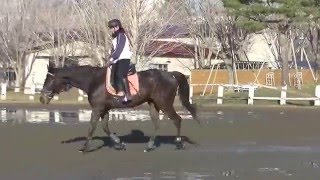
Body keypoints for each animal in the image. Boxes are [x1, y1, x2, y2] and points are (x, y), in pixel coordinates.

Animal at [39, 64, 199, 152]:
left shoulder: (97, 109)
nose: (42, 98)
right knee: (157, 123)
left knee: (177, 119)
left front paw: (84, 147)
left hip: (164, 103)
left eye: (49, 79)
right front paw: (119, 143)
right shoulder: (104, 110)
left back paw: (179, 143)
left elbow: (92, 127)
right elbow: (105, 127)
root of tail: (170, 74)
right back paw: (149, 146)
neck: (93, 80)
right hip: (153, 104)